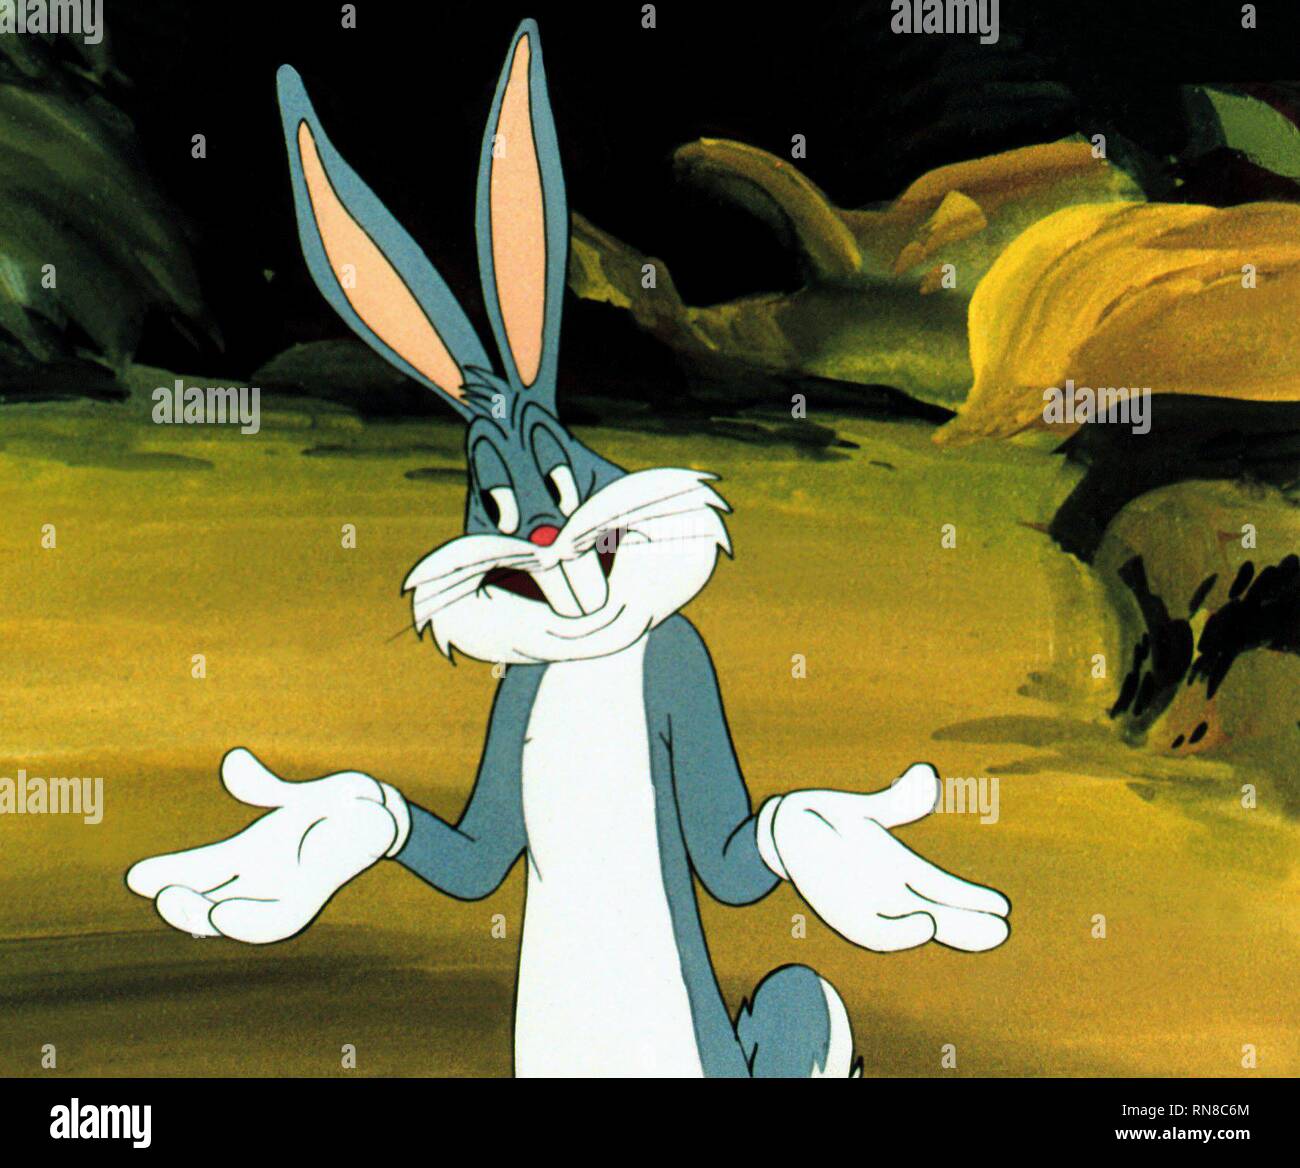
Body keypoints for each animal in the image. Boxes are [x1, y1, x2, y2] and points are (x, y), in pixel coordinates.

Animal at [126, 18, 1010, 1078]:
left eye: (557, 474)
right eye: (493, 501)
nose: (544, 535)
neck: (594, 655)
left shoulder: (682, 665)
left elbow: (736, 856)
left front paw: (849, 853)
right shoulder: (516, 699)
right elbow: (469, 858)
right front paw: (319, 833)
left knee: (802, 988)